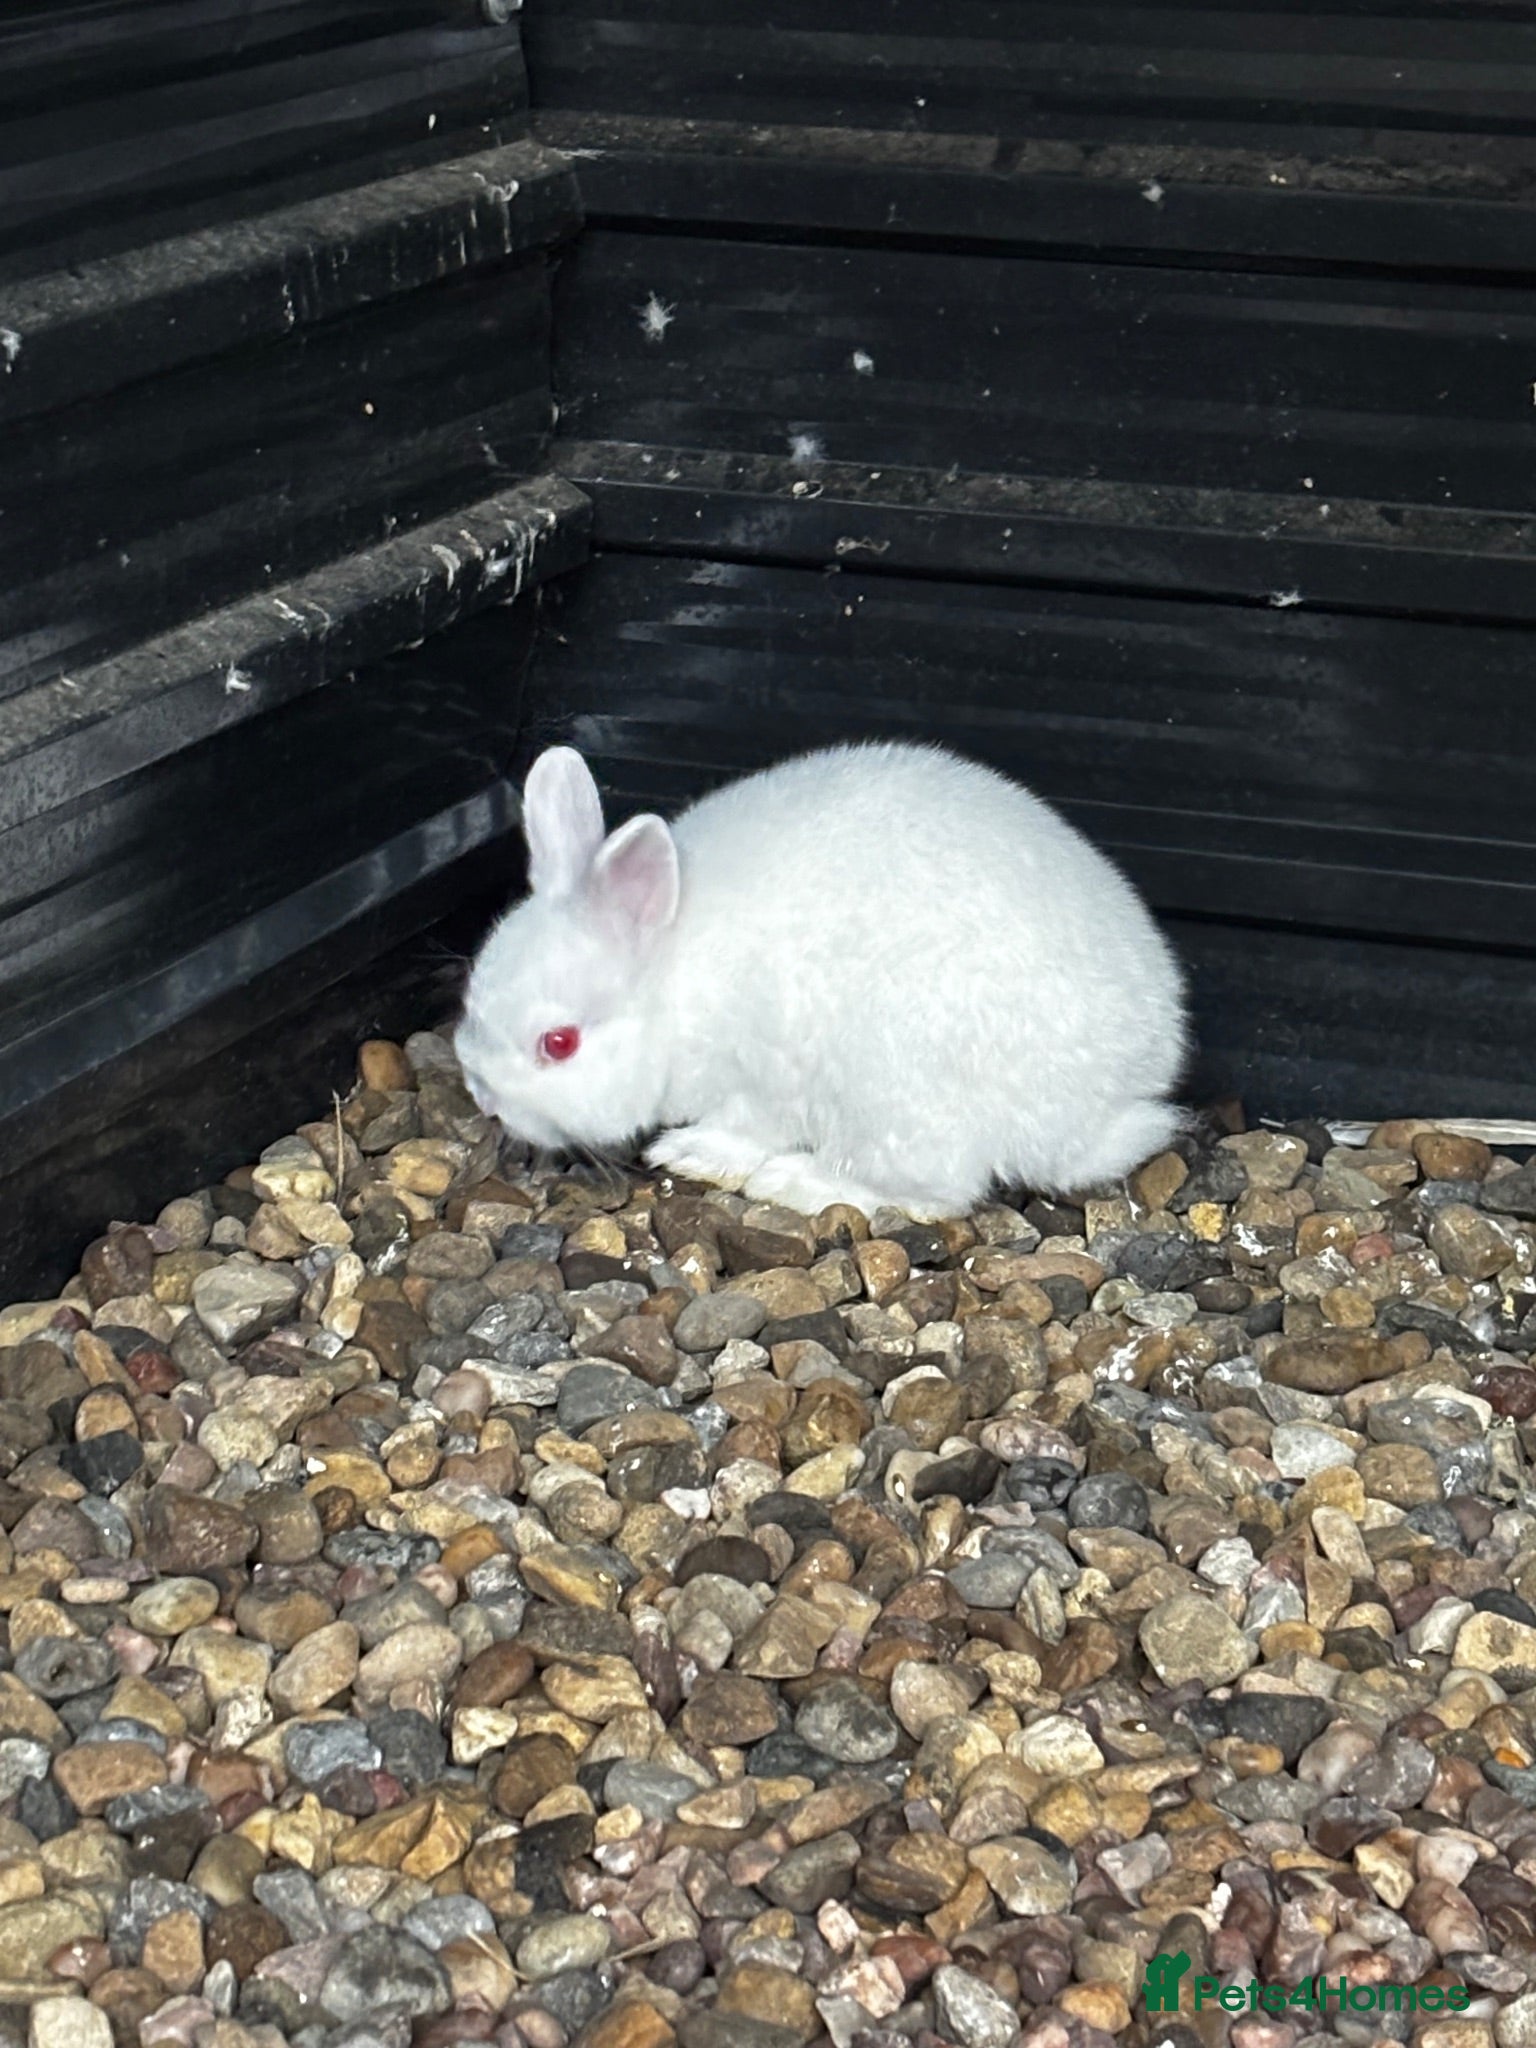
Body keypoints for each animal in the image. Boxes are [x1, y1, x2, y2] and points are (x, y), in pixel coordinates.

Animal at [454, 740, 1188, 1220]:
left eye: (558, 1044)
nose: (484, 1100)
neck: (669, 981)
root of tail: (1106, 1105)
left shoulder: (761, 1079)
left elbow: (745, 1127)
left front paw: (689, 1151)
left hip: (896, 1099)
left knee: (940, 1194)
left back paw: (794, 1183)